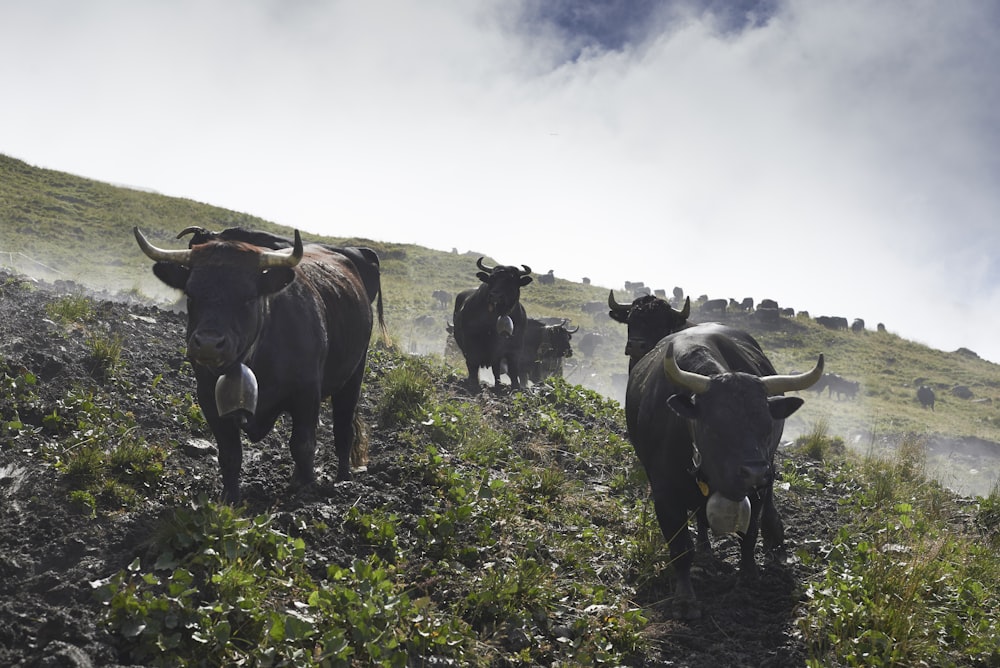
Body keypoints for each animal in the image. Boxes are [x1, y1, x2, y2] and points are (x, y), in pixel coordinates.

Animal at [139, 227, 388, 504]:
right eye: (191, 295)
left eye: (248, 297)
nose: (208, 344)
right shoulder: (208, 397)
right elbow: (230, 453)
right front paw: (230, 497)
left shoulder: (307, 393)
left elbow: (303, 445)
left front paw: (307, 489)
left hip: (353, 375)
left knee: (343, 429)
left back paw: (343, 477)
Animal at [624, 324, 828, 616]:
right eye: (715, 427)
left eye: (767, 425)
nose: (755, 472)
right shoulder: (664, 495)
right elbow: (680, 548)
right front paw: (685, 599)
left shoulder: (758, 491)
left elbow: (749, 535)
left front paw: (748, 577)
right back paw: (705, 553)